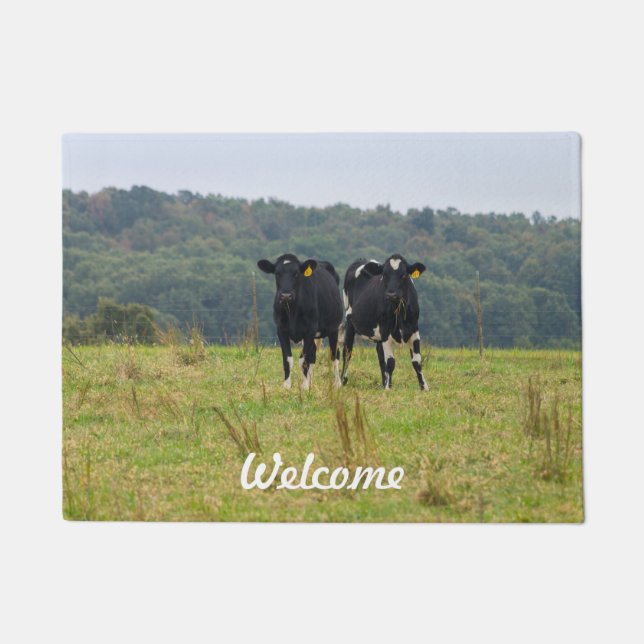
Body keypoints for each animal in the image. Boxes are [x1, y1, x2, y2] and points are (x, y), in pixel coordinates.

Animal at [257, 254, 344, 390]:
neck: (292, 312)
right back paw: (311, 381)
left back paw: (337, 383)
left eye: (296, 273)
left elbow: (304, 360)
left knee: (334, 355)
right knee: (313, 353)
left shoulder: (310, 329)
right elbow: (288, 359)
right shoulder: (281, 330)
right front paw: (287, 385)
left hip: (334, 328)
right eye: (277, 273)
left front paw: (304, 386)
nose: (286, 295)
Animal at [340, 254, 429, 391]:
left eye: (404, 275)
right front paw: (388, 388)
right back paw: (342, 380)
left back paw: (383, 382)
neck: (399, 311)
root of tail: (361, 259)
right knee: (347, 352)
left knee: (380, 355)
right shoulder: (386, 332)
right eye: (384, 274)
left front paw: (424, 386)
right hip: (350, 321)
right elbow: (390, 362)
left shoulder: (414, 330)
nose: (391, 294)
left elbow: (417, 361)